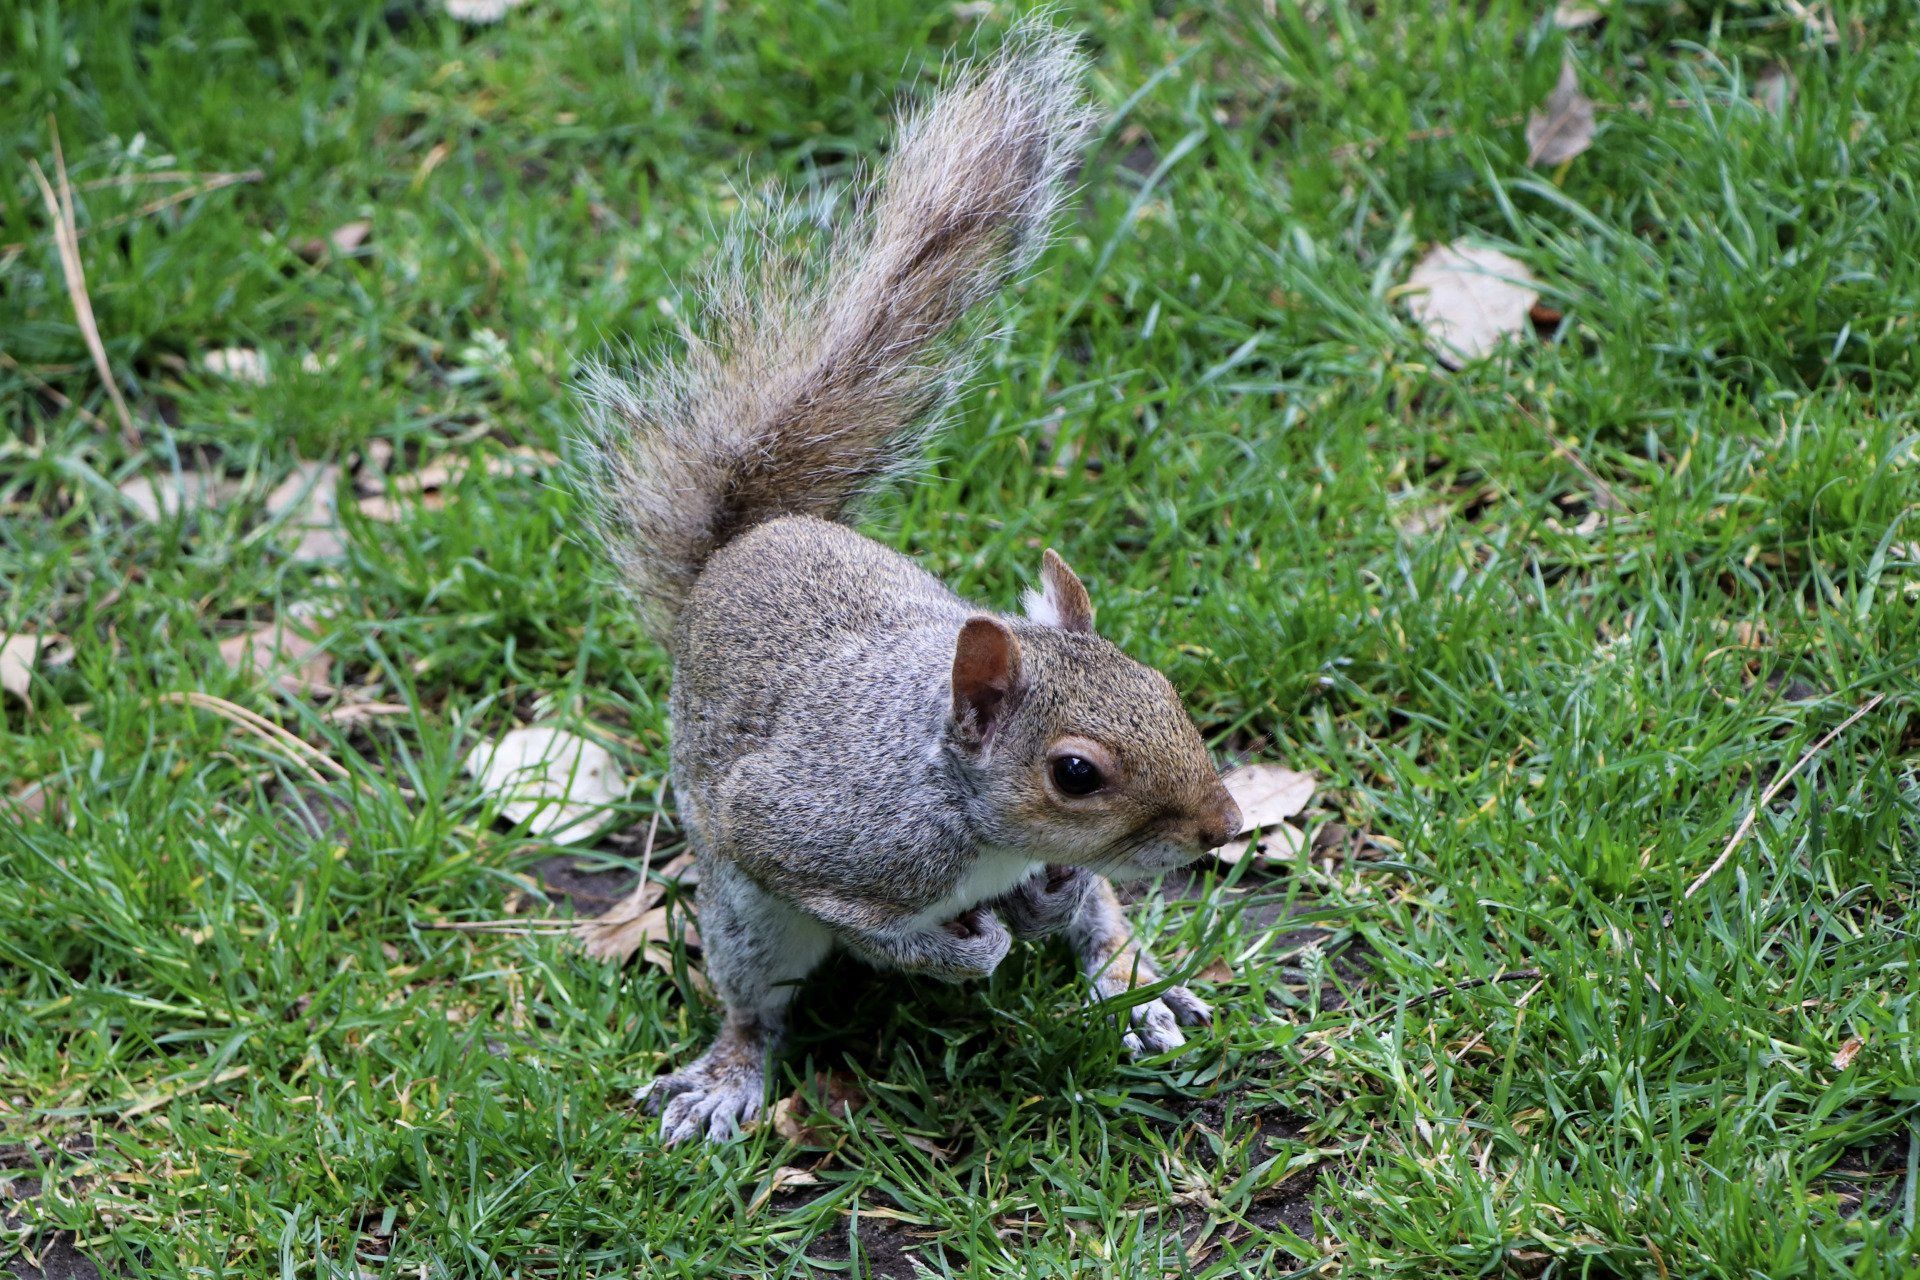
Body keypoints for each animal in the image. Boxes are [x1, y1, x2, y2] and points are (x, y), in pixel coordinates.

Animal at [572, 20, 1243, 1145]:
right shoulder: (803, 833)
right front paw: (967, 949)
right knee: (755, 1000)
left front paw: (1051, 916)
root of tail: (746, 544)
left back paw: (1131, 984)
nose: (1222, 827)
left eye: (1166, 688)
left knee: (1100, 923)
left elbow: (1074, 896)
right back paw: (729, 1074)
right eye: (1075, 773)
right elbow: (881, 931)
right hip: (746, 920)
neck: (959, 799)